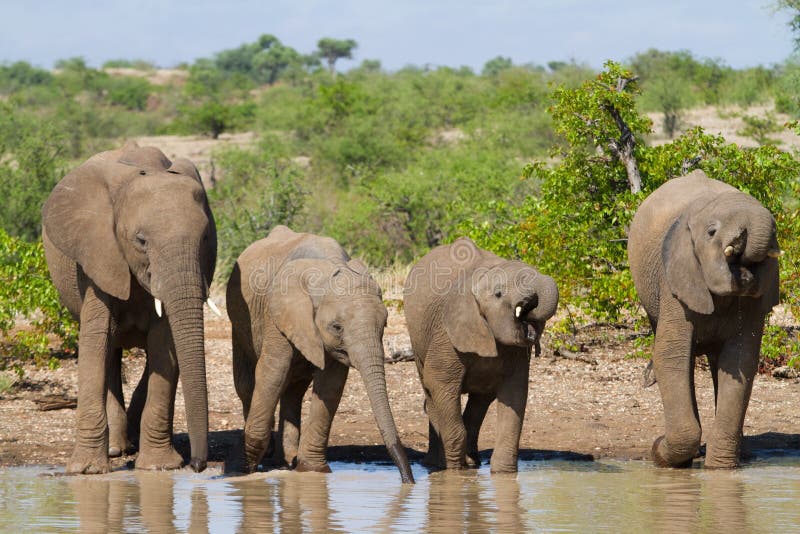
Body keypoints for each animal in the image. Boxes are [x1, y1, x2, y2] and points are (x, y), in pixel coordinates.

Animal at [42, 141, 217, 474]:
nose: (198, 465)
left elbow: (165, 344)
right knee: (109, 351)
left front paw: (160, 467)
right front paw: (87, 470)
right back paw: (115, 448)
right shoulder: (98, 255)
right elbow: (96, 339)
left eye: (204, 238)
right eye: (141, 240)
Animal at [226, 225, 414, 483]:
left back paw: (287, 460)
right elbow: (273, 371)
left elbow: (331, 383)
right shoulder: (278, 314)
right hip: (239, 321)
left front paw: (312, 470)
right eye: (337, 327)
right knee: (249, 384)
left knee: (294, 389)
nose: (408, 481)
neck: (326, 270)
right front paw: (239, 470)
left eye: (384, 324)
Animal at [403, 237, 559, 472]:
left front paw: (504, 474)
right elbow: (439, 382)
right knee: (432, 394)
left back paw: (471, 462)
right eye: (499, 294)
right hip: (418, 340)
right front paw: (455, 472)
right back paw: (438, 464)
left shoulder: (516, 354)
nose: (530, 319)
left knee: (481, 400)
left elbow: (515, 394)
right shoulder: (446, 333)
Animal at [627, 170, 781, 468]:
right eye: (711, 232)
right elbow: (671, 355)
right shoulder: (674, 279)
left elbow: (740, 360)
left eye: (775, 233)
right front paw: (662, 453)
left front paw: (719, 468)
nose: (744, 270)